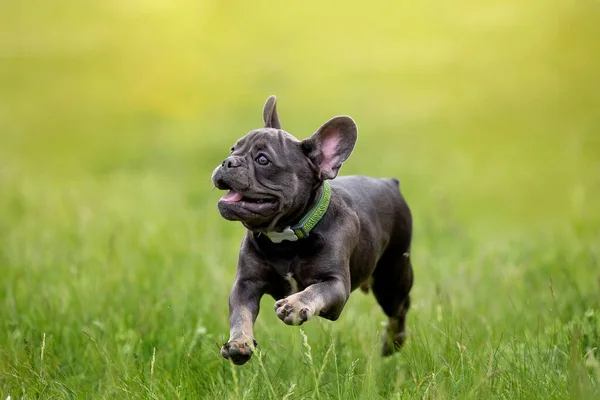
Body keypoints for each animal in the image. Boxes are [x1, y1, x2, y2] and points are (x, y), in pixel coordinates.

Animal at [211, 97, 412, 366]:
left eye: (263, 160)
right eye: (233, 149)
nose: (228, 161)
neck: (286, 239)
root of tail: (390, 182)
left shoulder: (336, 284)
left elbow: (317, 290)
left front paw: (295, 305)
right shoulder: (246, 284)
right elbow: (240, 313)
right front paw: (239, 343)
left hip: (392, 278)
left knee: (399, 311)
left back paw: (393, 344)